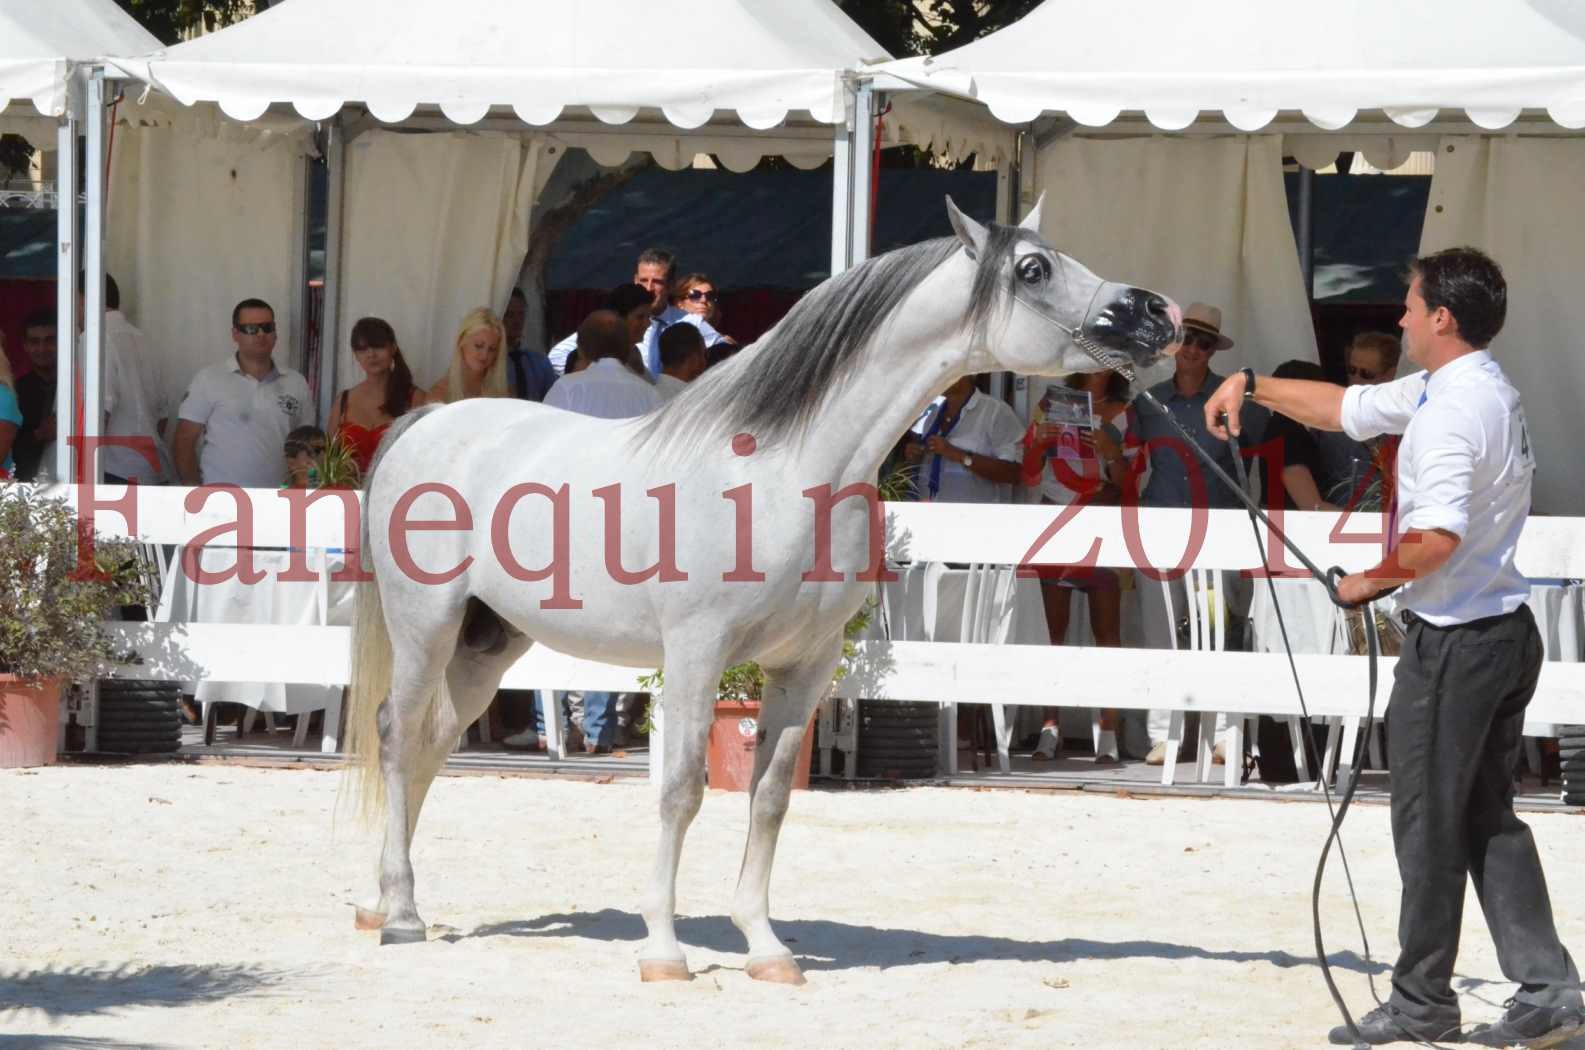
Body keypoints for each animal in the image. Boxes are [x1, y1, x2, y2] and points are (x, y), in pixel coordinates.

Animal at [350, 199, 1191, 989]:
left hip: (489, 642)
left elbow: (770, 797)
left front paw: (765, 949)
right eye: (1031, 270)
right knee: (396, 734)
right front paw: (663, 951)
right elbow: (681, 790)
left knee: (432, 743)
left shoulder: (806, 665)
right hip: (427, 626)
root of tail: (429, 419)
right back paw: (401, 916)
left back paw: (394, 903)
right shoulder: (695, 654)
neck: (787, 471)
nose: (1159, 313)